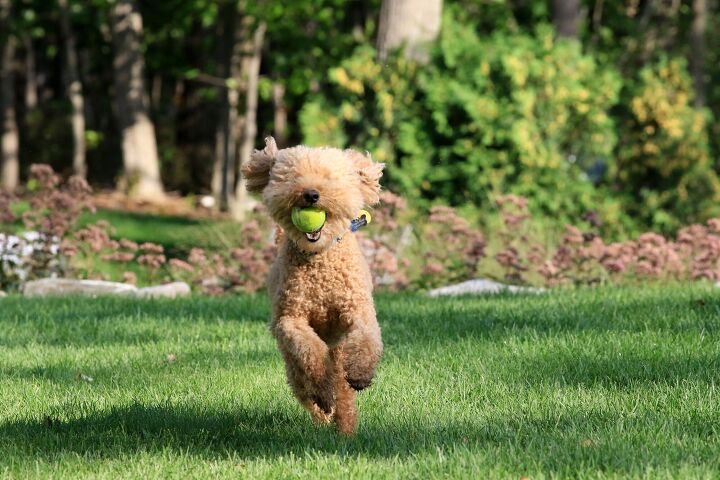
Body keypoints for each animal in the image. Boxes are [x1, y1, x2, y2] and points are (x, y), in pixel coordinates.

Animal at [242, 136, 386, 436]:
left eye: (330, 178)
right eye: (292, 177)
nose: (311, 194)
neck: (319, 258)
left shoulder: (358, 310)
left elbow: (366, 338)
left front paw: (362, 374)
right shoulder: (290, 319)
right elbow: (310, 352)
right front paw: (322, 387)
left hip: (340, 351)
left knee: (343, 391)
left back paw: (345, 429)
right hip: (291, 362)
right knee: (307, 388)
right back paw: (323, 409)